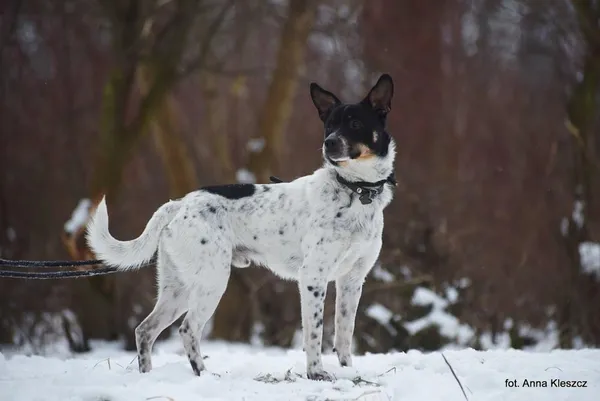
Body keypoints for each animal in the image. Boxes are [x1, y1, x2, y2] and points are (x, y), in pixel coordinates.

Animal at [84, 73, 394, 380]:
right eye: (329, 125)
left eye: (355, 124)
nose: (329, 143)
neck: (356, 189)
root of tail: (179, 204)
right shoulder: (313, 277)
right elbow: (315, 334)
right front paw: (316, 373)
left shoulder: (352, 280)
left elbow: (344, 333)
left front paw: (348, 371)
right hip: (212, 281)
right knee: (187, 329)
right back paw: (203, 374)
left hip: (179, 288)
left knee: (145, 330)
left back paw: (148, 375)